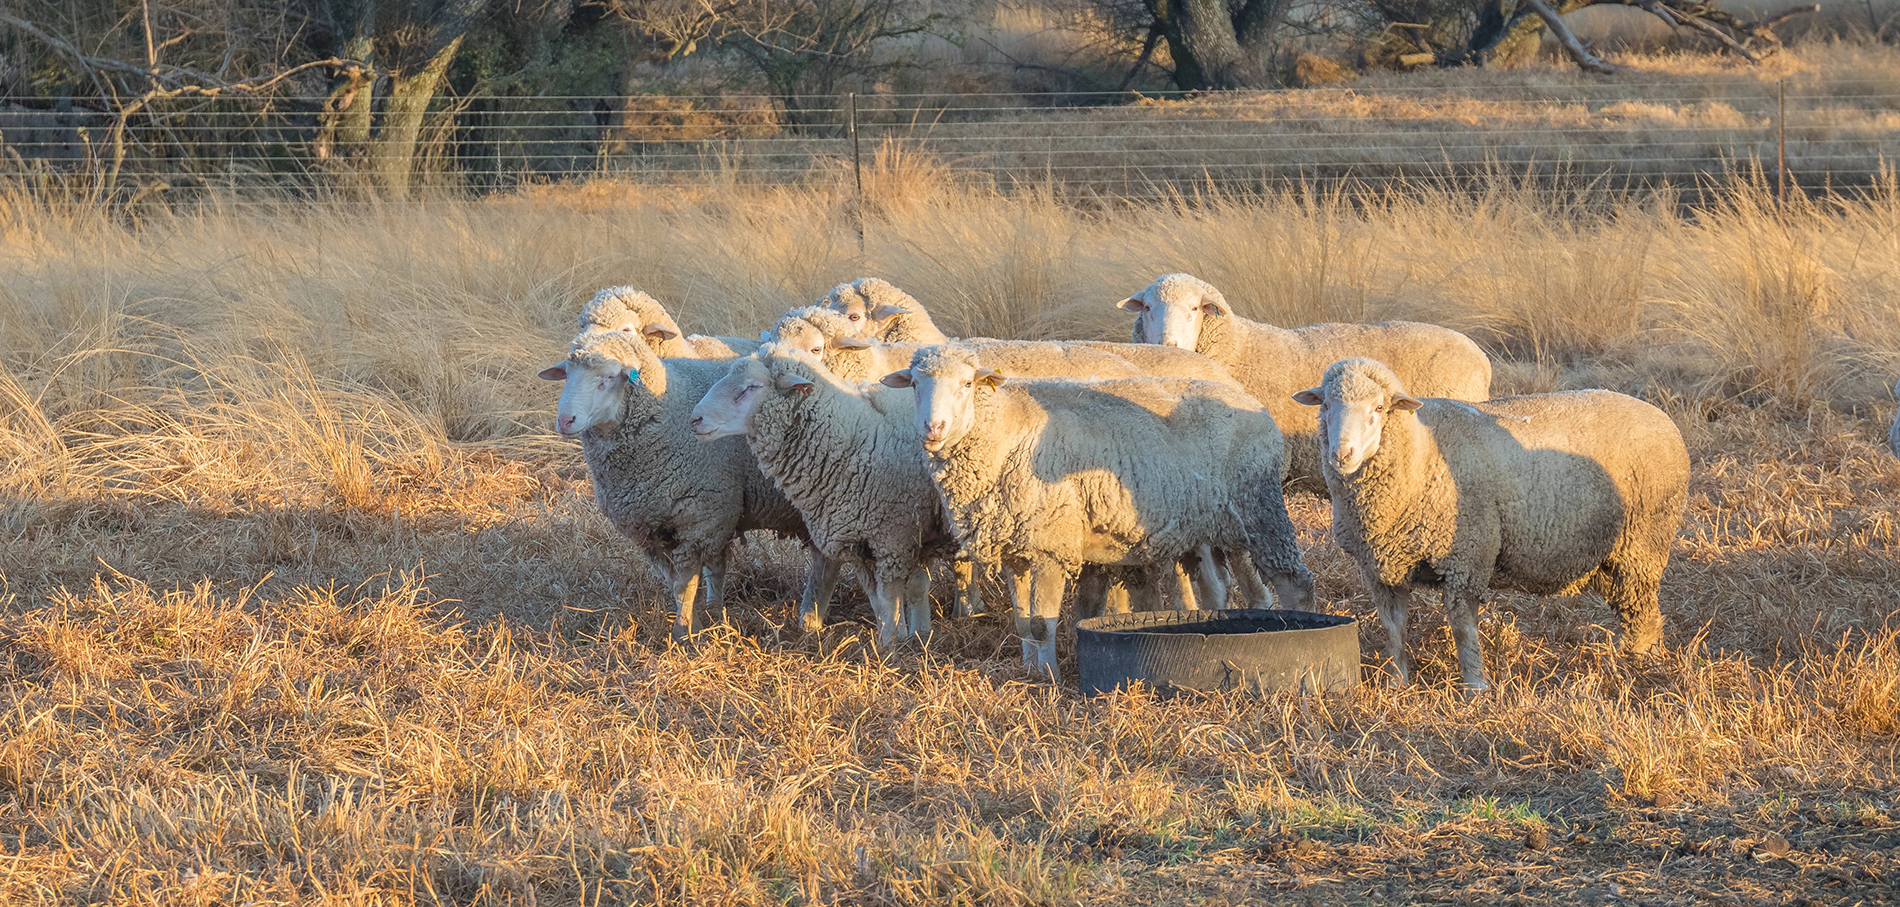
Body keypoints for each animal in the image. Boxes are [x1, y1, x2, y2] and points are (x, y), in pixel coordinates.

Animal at [538, 328, 836, 641]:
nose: (565, 420)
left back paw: (811, 622)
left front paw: (684, 632)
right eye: (567, 374)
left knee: (825, 565)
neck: (668, 408)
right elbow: (688, 578)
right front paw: (705, 618)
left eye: (607, 377)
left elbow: (686, 585)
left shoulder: (699, 518)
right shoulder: (656, 528)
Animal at [690, 344, 966, 648]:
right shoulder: (862, 541)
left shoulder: (893, 536)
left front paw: (894, 645)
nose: (695, 419)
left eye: (751, 386)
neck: (856, 437)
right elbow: (879, 600)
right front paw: (900, 638)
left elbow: (892, 596)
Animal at [883, 345, 1316, 674]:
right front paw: (1029, 669)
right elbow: (1023, 620)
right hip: (1217, 525)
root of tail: (1250, 401)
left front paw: (1048, 676)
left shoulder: (1051, 542)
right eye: (915, 383)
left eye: (967, 383)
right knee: (1236, 590)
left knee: (1295, 582)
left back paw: (1300, 632)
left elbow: (1041, 623)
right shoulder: (1017, 548)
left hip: (1259, 506)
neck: (1006, 431)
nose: (933, 429)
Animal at [1294, 357, 1689, 692]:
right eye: (1325, 405)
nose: (1342, 455)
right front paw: (1396, 682)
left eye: (1379, 409)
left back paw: (1639, 663)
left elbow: (1463, 629)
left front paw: (1475, 686)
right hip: (1610, 556)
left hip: (1643, 543)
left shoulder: (1466, 556)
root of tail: (1662, 419)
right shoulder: (1380, 568)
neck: (1421, 452)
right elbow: (1393, 628)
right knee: (1634, 609)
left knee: (1644, 613)